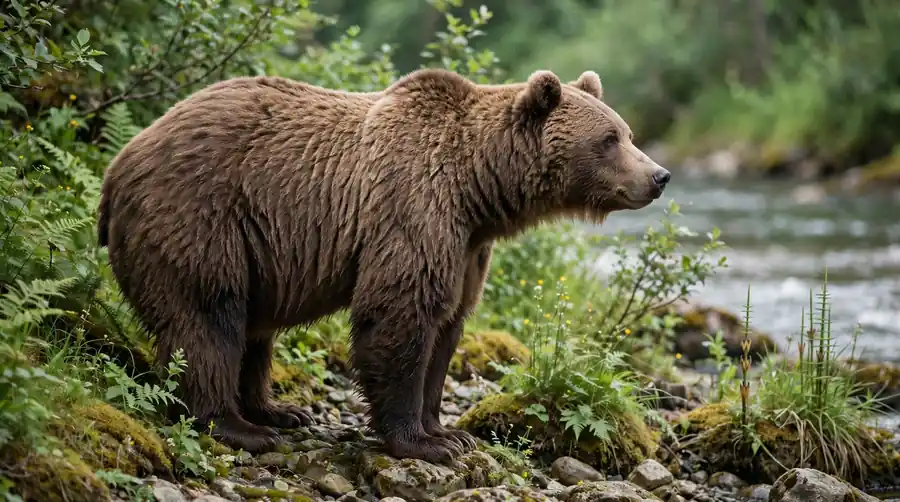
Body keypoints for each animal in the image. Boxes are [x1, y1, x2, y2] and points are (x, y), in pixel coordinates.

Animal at [96, 67, 671, 464]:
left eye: (627, 132)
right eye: (609, 139)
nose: (660, 175)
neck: (477, 189)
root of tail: (118, 164)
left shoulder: (467, 248)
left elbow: (447, 327)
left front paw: (447, 430)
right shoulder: (413, 209)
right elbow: (400, 314)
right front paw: (421, 441)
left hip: (253, 248)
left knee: (252, 330)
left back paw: (279, 409)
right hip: (200, 217)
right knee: (208, 318)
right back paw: (238, 426)